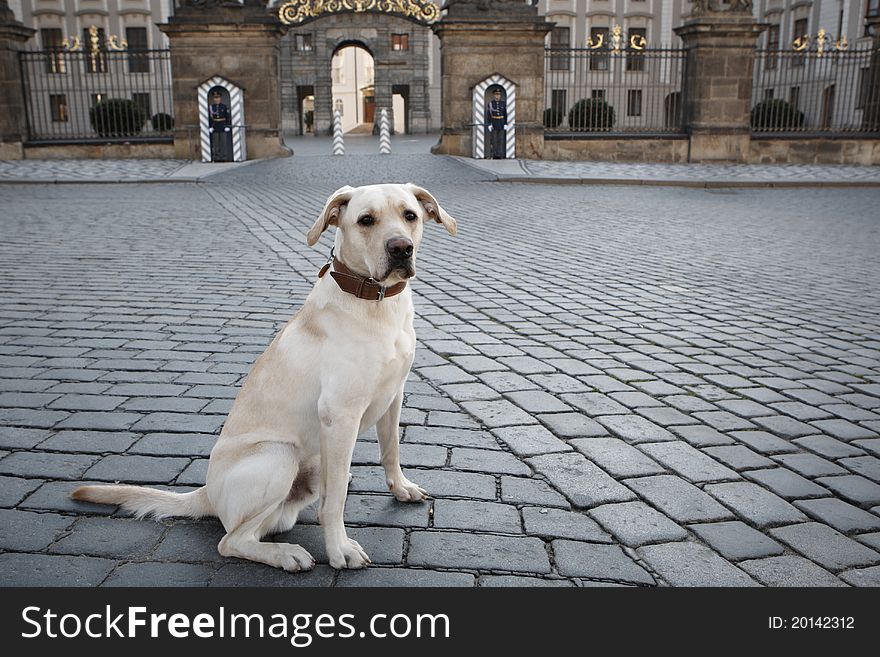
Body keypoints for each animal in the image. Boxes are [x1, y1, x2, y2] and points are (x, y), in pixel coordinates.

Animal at [72, 183, 458, 568]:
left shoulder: (393, 395)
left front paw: (401, 487)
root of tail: (207, 493)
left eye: (410, 215)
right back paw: (285, 554)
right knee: (232, 540)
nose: (401, 248)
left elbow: (390, 450)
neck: (376, 301)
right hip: (279, 455)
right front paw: (339, 550)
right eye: (366, 220)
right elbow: (334, 503)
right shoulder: (340, 415)